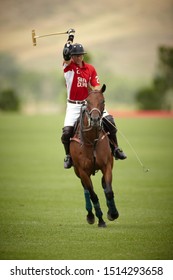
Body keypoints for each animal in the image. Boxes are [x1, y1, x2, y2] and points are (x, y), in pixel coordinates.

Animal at [69, 83, 119, 228]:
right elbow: (93, 195)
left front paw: (113, 213)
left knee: (104, 185)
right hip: (77, 171)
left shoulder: (106, 166)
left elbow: (109, 191)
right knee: (86, 189)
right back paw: (91, 216)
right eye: (87, 101)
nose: (96, 119)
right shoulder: (83, 171)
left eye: (103, 101)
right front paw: (100, 219)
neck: (92, 140)